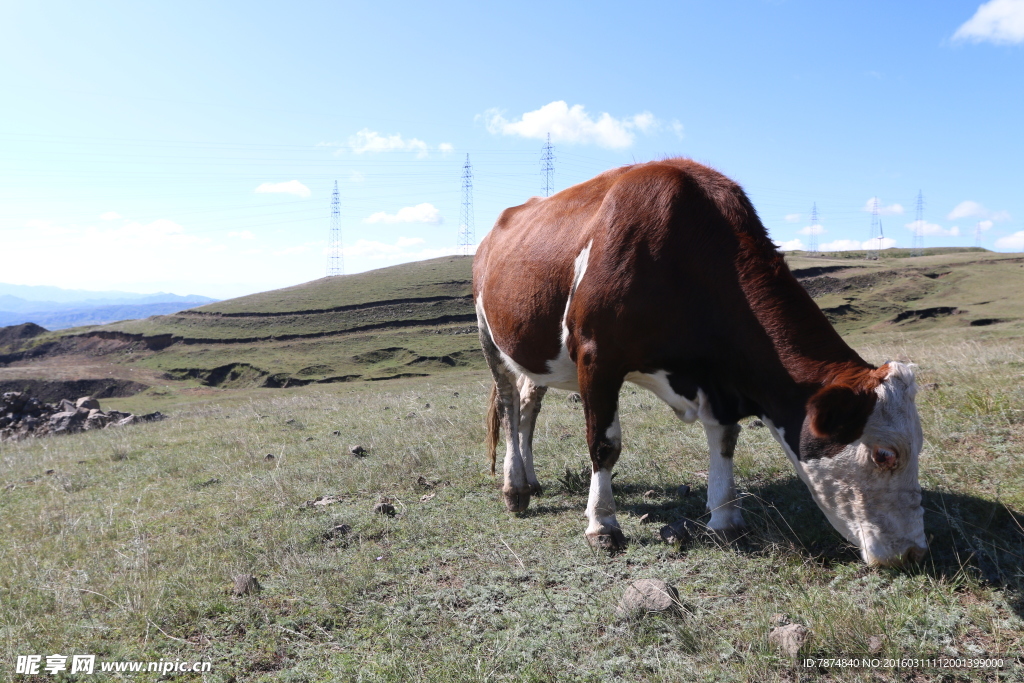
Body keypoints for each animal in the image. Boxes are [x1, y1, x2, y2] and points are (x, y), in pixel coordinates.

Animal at [471, 158, 929, 565]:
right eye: (884, 455)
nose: (913, 553)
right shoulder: (597, 357)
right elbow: (604, 444)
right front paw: (602, 526)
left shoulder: (718, 379)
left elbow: (724, 440)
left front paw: (725, 519)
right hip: (488, 334)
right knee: (510, 406)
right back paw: (515, 489)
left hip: (538, 353)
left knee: (529, 405)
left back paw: (531, 480)